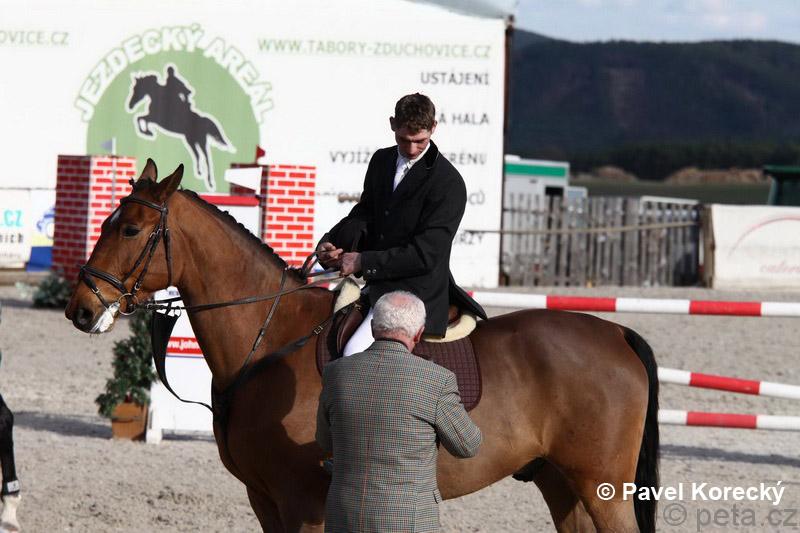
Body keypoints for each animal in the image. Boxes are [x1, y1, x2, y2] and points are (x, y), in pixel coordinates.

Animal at [65, 160, 660, 532]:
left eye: (131, 230)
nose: (81, 309)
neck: (270, 339)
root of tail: (616, 333)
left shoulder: (302, 503)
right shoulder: (264, 500)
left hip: (601, 486)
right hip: (561, 483)